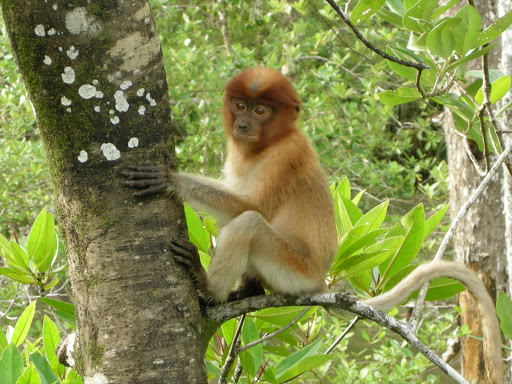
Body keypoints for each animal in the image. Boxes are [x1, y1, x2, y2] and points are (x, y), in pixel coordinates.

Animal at [125, 67, 504, 382]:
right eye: (240, 105)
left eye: (261, 111)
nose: (242, 126)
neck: (269, 142)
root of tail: (320, 279)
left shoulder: (286, 153)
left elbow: (249, 207)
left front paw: (170, 180)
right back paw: (248, 289)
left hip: (291, 270)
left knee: (249, 223)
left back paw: (209, 289)